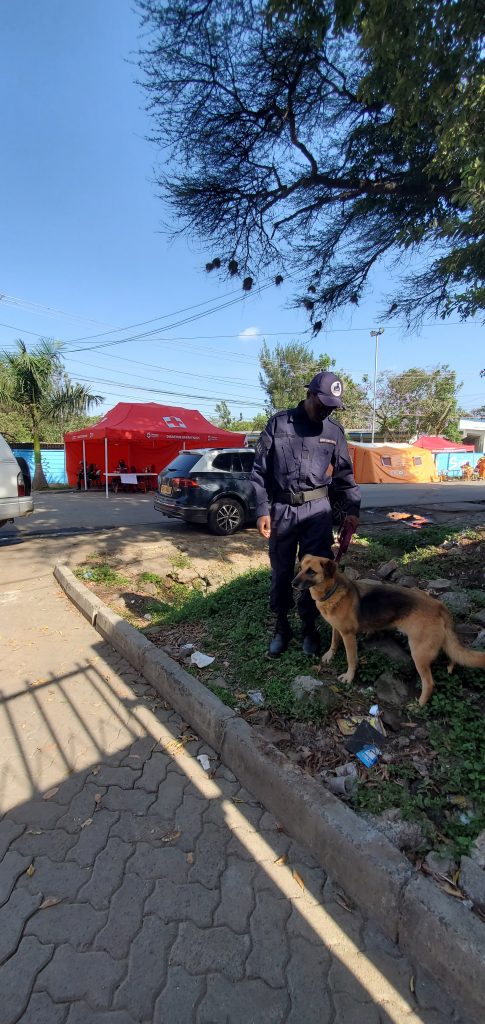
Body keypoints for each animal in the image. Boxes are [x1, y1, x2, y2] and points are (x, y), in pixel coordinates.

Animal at [292, 555, 485, 705]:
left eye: (311, 571)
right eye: (300, 568)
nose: (293, 583)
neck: (332, 590)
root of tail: (438, 605)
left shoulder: (348, 635)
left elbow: (351, 659)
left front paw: (349, 677)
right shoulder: (337, 628)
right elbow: (333, 642)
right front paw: (329, 655)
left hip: (419, 653)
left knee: (429, 683)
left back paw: (419, 705)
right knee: (452, 654)